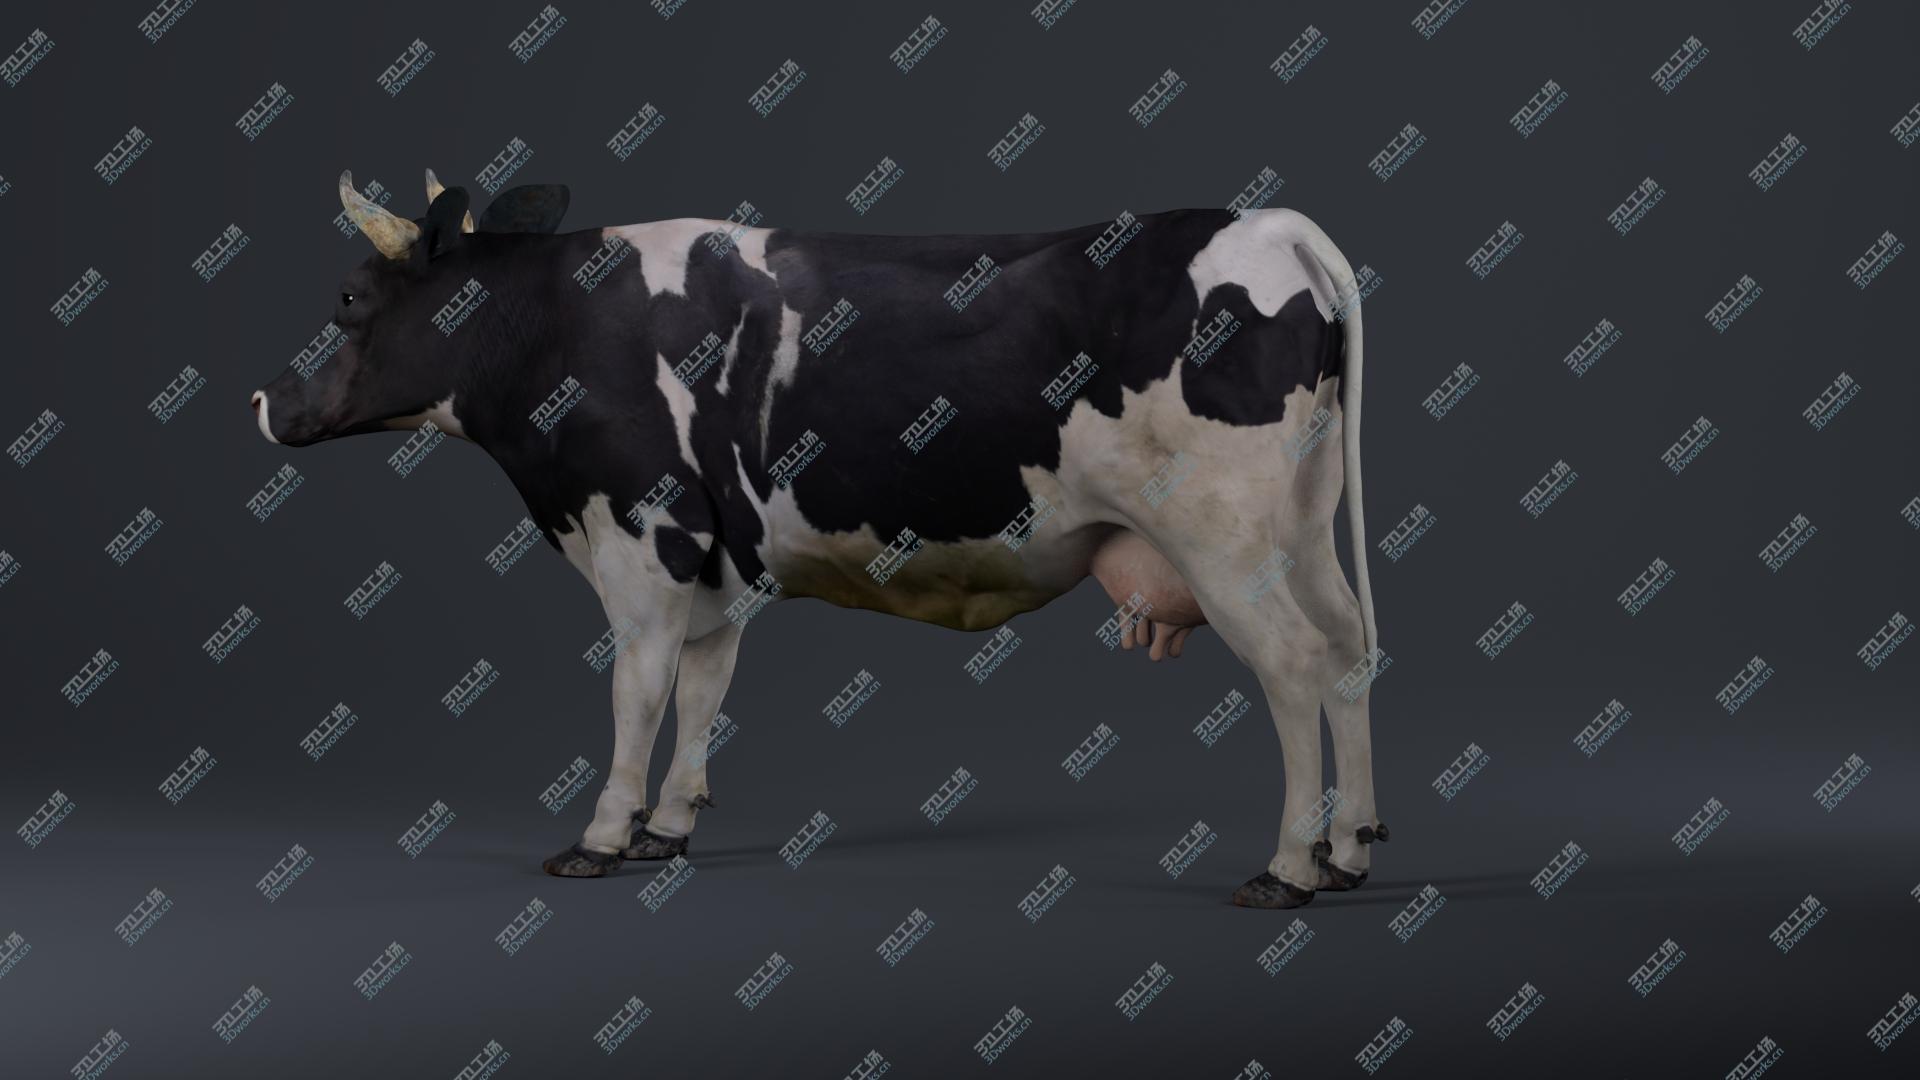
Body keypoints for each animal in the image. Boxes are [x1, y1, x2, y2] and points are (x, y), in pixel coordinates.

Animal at [249, 170, 1386, 909]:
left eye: (347, 297)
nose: (266, 400)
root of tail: (1276, 226)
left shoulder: (643, 532)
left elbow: (637, 686)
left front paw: (601, 838)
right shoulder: (716, 554)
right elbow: (704, 683)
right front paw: (668, 829)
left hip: (1227, 538)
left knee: (1292, 663)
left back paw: (1286, 871)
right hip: (1302, 526)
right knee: (1346, 651)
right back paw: (1350, 851)